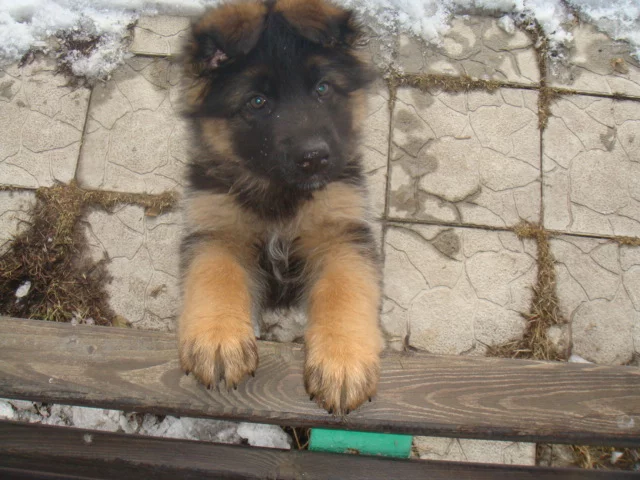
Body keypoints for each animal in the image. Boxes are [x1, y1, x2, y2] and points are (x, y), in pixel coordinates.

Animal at [179, 0, 382, 415]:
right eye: (257, 101)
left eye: (323, 88)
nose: (314, 158)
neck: (279, 194)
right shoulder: (215, 227)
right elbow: (216, 273)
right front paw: (218, 338)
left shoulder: (342, 232)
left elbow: (345, 288)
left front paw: (343, 362)